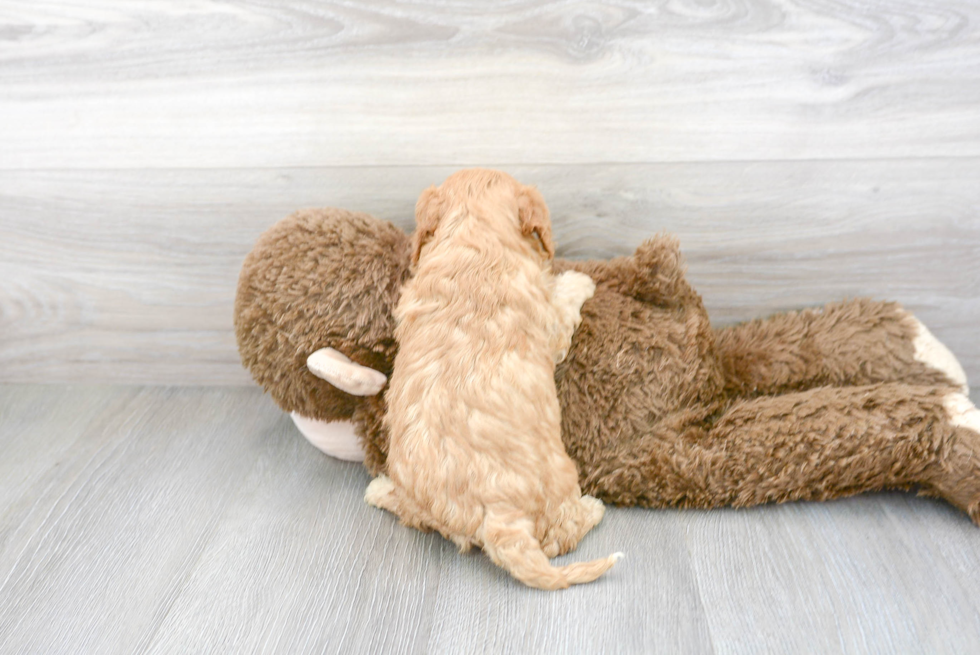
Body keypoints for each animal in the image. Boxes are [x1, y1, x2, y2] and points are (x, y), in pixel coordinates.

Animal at [364, 169, 624, 588]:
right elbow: (563, 301)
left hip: (416, 497)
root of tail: (498, 519)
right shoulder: (550, 321)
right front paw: (578, 280)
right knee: (561, 535)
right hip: (560, 480)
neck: (475, 239)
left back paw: (378, 489)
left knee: (410, 514)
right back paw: (592, 507)